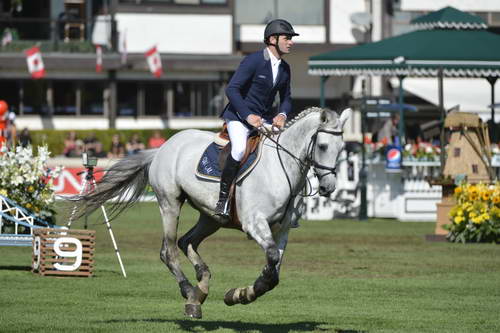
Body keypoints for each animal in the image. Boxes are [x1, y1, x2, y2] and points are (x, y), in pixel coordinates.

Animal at [77, 106, 352, 316]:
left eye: (341, 148)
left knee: (186, 241)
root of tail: (164, 146)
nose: (328, 187)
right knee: (168, 251)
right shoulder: (255, 224)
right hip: (170, 203)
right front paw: (244, 292)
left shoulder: (281, 230)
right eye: (323, 146)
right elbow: (272, 260)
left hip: (211, 217)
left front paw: (240, 294)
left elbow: (275, 270)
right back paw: (190, 292)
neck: (281, 167)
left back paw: (201, 287)